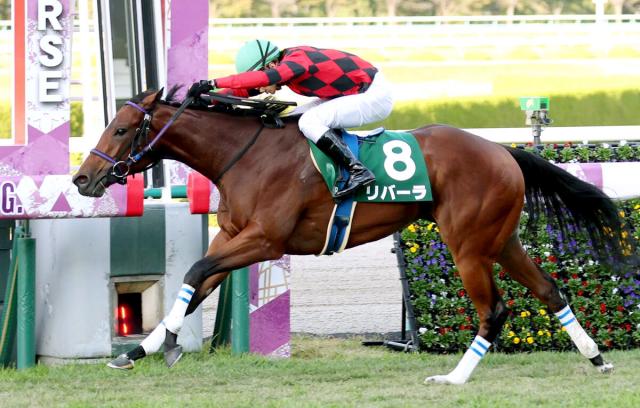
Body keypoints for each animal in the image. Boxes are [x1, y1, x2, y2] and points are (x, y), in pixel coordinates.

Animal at [73, 88, 632, 384]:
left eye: (120, 129)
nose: (82, 179)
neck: (245, 154)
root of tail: (503, 151)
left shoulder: (265, 240)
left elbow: (194, 271)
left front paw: (161, 344)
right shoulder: (230, 236)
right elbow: (196, 284)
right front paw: (138, 351)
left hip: (468, 245)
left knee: (494, 309)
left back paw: (454, 378)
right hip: (501, 239)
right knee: (550, 290)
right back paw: (597, 358)